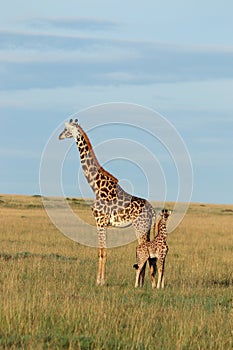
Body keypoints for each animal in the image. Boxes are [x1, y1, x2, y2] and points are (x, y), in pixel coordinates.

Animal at [58, 119, 157, 286]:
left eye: (66, 129)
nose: (59, 136)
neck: (96, 186)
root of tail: (153, 212)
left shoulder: (100, 221)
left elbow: (102, 252)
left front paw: (100, 281)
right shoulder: (103, 223)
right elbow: (102, 251)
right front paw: (101, 279)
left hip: (140, 227)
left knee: (144, 250)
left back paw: (141, 283)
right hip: (146, 228)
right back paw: (147, 283)